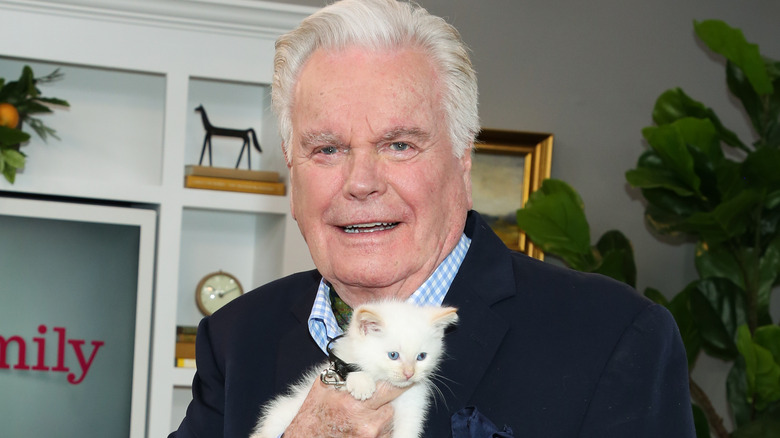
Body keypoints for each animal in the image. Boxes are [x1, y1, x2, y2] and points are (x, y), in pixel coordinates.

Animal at [250, 302, 458, 438]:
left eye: (421, 356)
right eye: (393, 355)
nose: (409, 373)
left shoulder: (412, 403)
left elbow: (408, 427)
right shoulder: (334, 372)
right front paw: (362, 383)